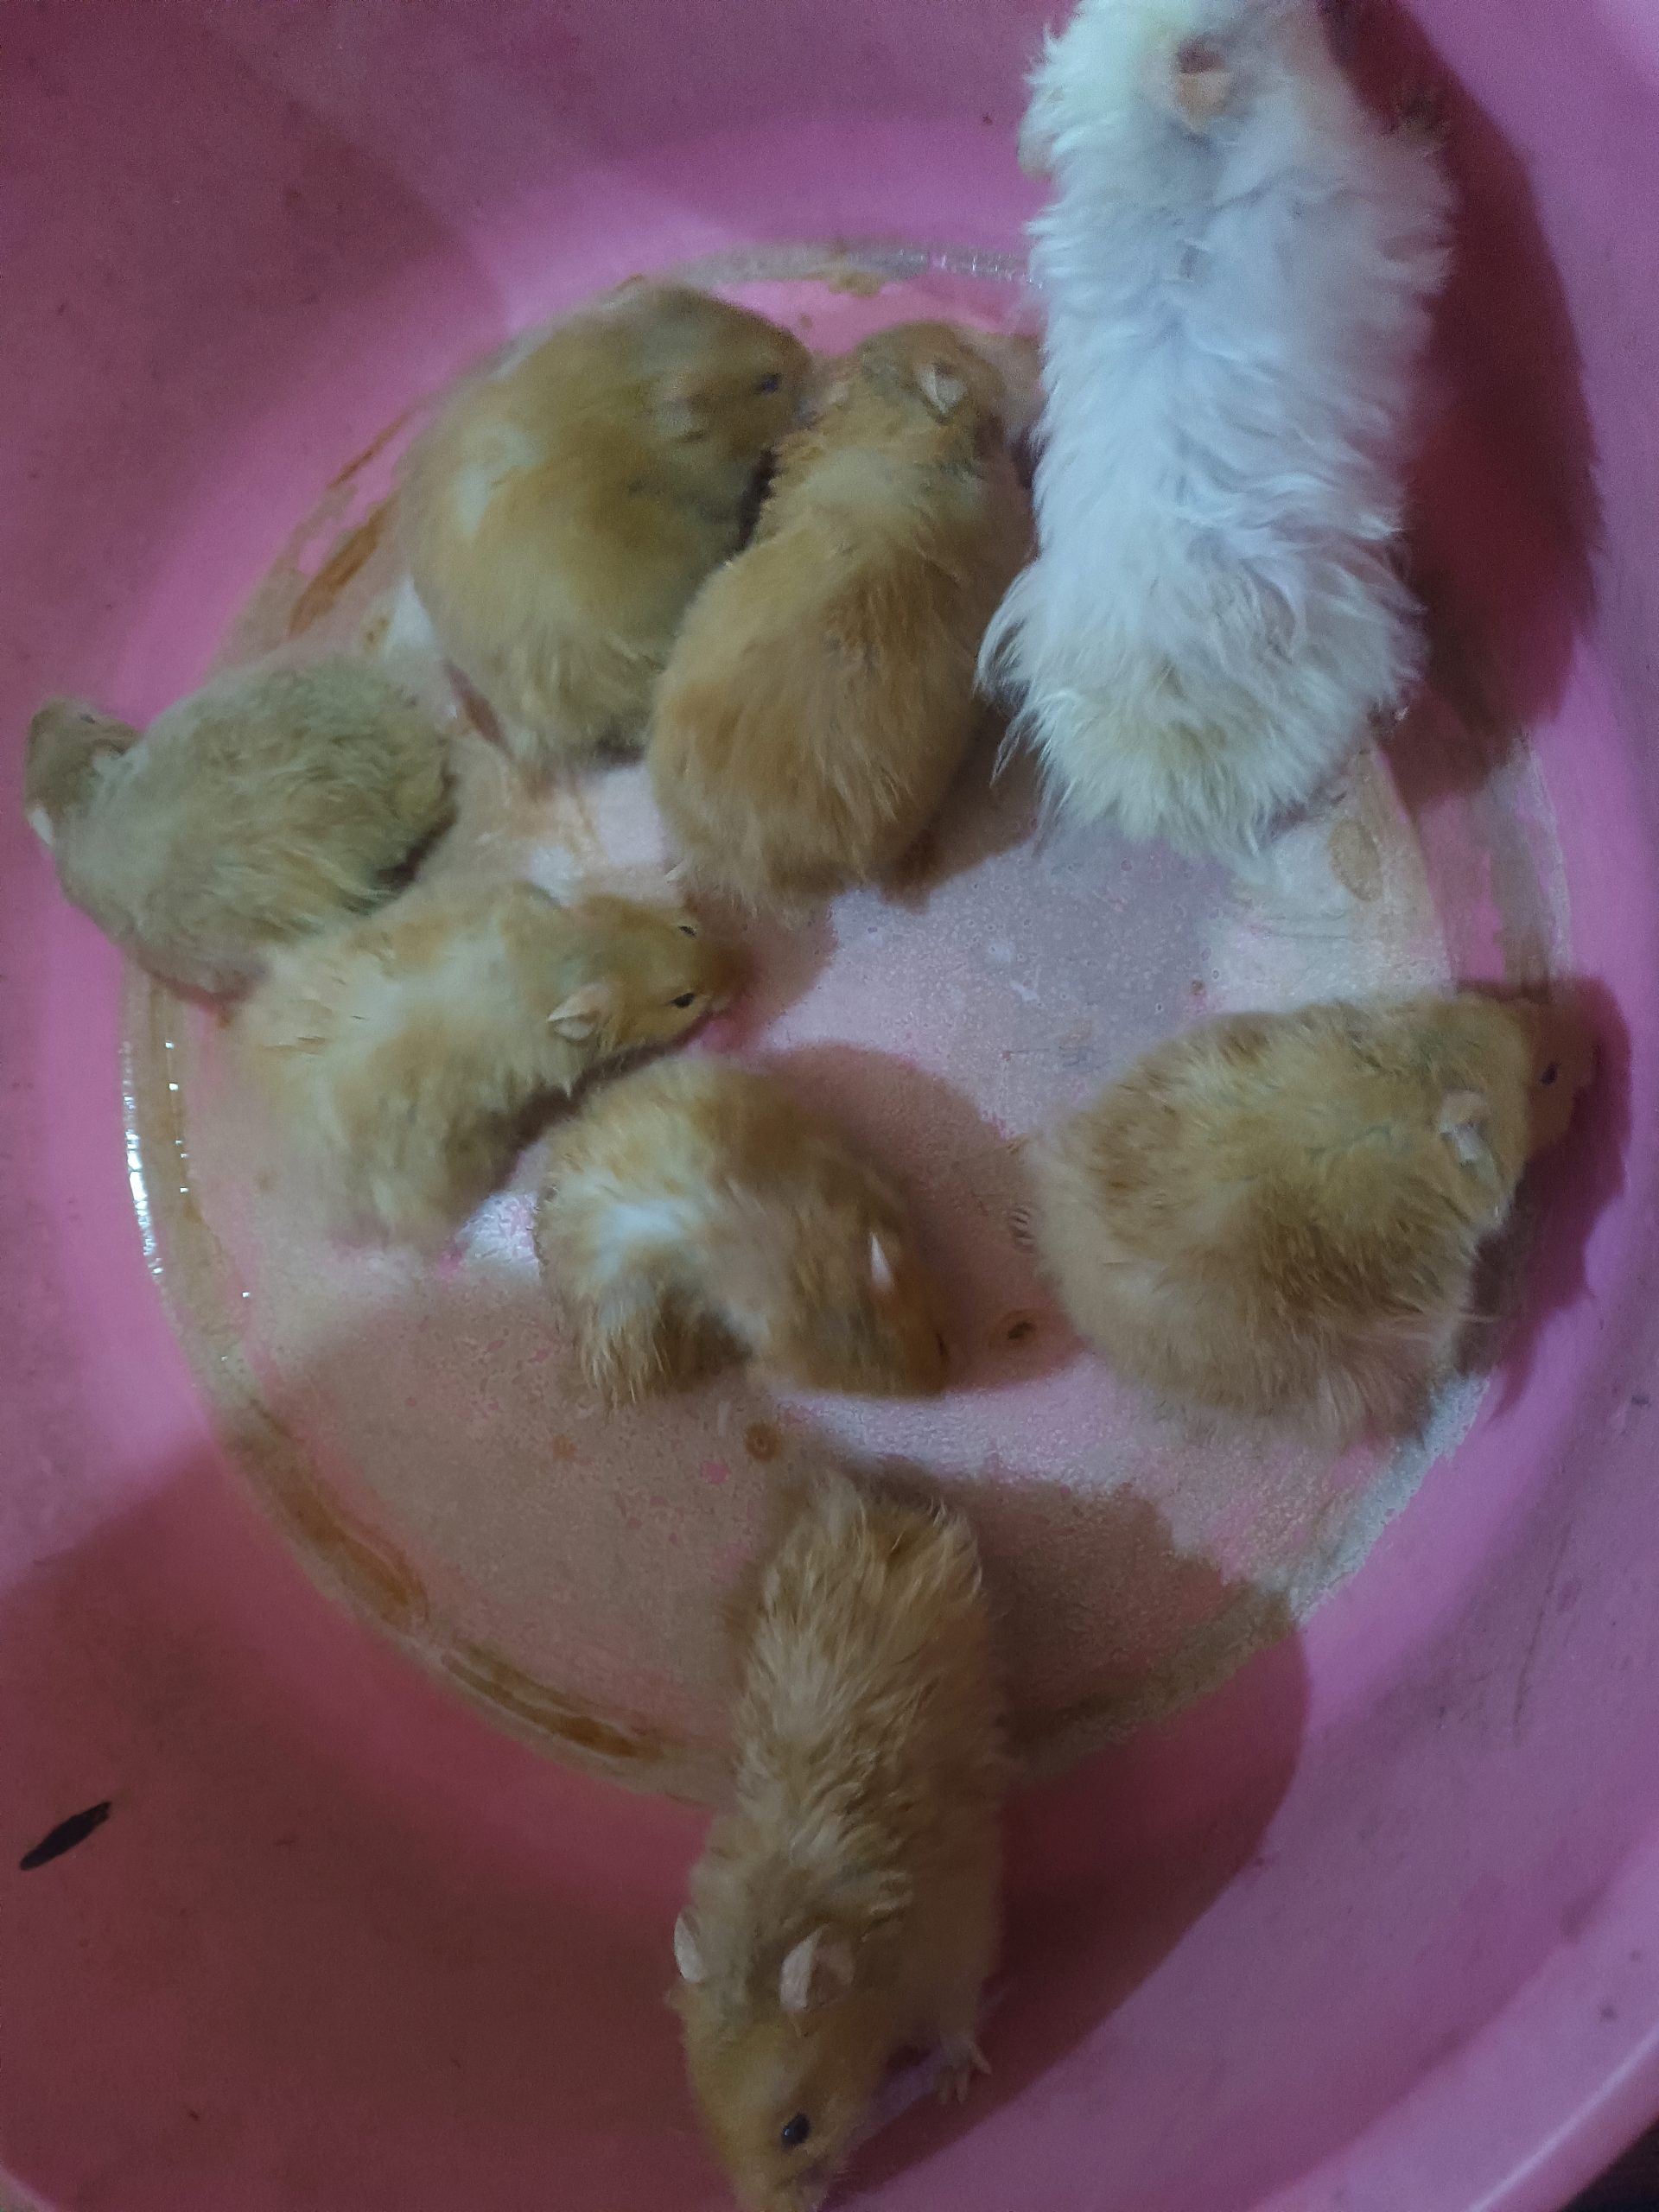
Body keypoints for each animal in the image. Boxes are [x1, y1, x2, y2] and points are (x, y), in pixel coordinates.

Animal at [672, 1471, 1006, 2212]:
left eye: (797, 2130)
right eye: (708, 2128)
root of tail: (868, 1506)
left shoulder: (958, 1939)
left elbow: (958, 2022)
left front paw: (955, 2088)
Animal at [981, 0, 1452, 855]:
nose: (1350, 12)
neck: (1170, 183)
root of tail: (1165, 774)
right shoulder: (1382, 199)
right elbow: (1421, 169)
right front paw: (1427, 101)